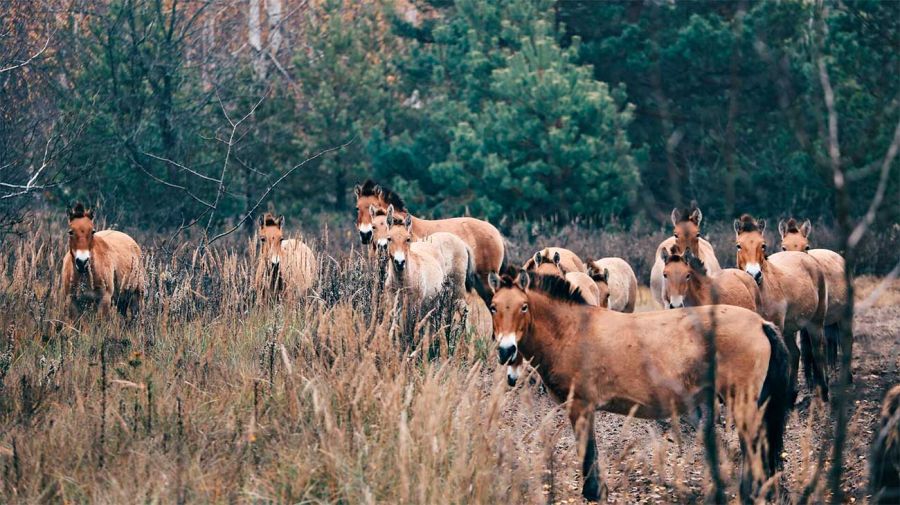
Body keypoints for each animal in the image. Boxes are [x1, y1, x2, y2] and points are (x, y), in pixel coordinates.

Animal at [488, 269, 792, 502]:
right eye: (493, 307)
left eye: (523, 306)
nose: (505, 350)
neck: (572, 330)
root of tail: (762, 323)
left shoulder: (581, 407)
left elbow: (587, 452)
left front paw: (592, 492)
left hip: (742, 402)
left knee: (754, 445)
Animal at [735, 214, 830, 399]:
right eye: (738, 245)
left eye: (763, 245)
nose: (754, 275)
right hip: (788, 330)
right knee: (795, 353)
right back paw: (791, 393)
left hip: (815, 322)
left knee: (818, 351)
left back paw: (823, 390)